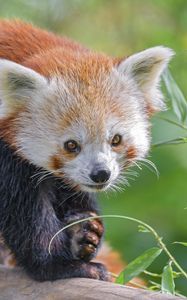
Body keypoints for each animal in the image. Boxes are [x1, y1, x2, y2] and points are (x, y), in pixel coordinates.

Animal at [0, 20, 174, 282]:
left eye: (116, 140)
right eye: (71, 145)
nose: (100, 174)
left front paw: (81, 235)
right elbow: (23, 212)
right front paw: (60, 266)